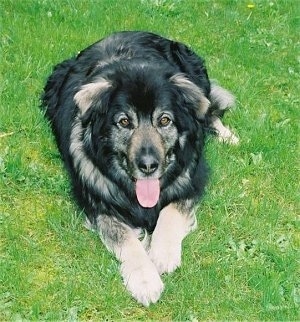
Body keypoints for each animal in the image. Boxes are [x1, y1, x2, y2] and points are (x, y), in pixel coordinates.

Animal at [41, 31, 238, 306]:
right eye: (124, 122)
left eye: (164, 120)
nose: (148, 166)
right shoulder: (100, 207)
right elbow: (127, 242)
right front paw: (145, 280)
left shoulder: (191, 180)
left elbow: (170, 211)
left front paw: (162, 253)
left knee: (208, 110)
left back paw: (228, 136)